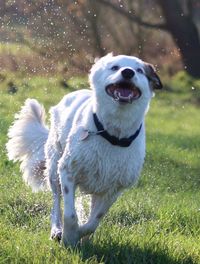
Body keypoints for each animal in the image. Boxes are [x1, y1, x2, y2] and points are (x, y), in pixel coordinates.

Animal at [6, 53, 162, 245]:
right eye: (115, 67)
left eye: (139, 70)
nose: (128, 72)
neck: (112, 134)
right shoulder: (67, 171)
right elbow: (70, 214)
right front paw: (69, 236)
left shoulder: (114, 188)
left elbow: (94, 220)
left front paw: (81, 235)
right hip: (54, 168)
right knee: (56, 202)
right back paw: (57, 230)